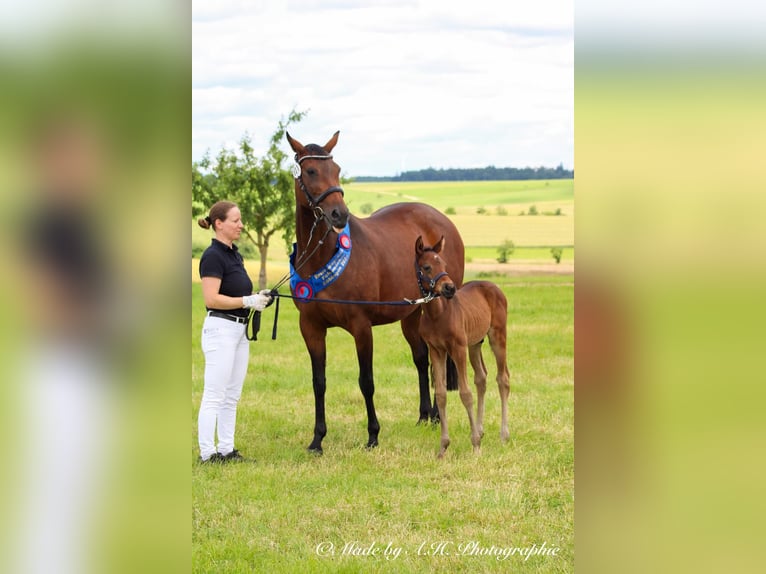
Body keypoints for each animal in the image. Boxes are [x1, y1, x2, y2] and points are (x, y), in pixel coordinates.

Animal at [414, 235, 510, 460]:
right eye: (427, 267)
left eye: (443, 264)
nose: (449, 288)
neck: (437, 315)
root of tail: (494, 287)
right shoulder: (436, 350)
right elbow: (441, 395)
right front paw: (443, 448)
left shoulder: (457, 349)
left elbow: (465, 393)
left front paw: (475, 445)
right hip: (475, 344)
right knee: (482, 378)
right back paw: (481, 430)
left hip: (497, 337)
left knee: (502, 379)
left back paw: (503, 435)